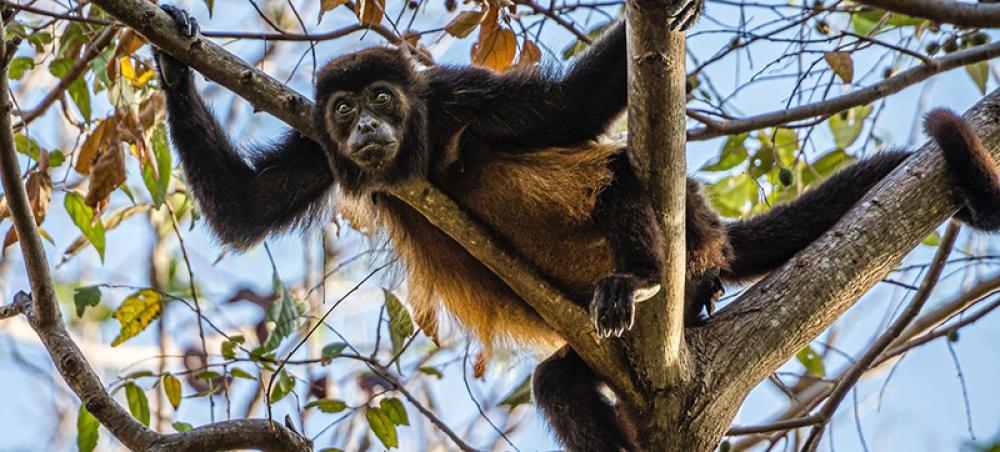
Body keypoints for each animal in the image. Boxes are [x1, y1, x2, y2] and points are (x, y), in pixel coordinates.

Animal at [152, 4, 1000, 452]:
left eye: (383, 99)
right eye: (341, 108)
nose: (363, 126)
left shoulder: (458, 96)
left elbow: (570, 111)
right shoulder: (318, 150)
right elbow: (246, 207)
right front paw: (170, 56)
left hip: (688, 249)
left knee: (625, 176)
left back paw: (646, 277)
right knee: (559, 382)